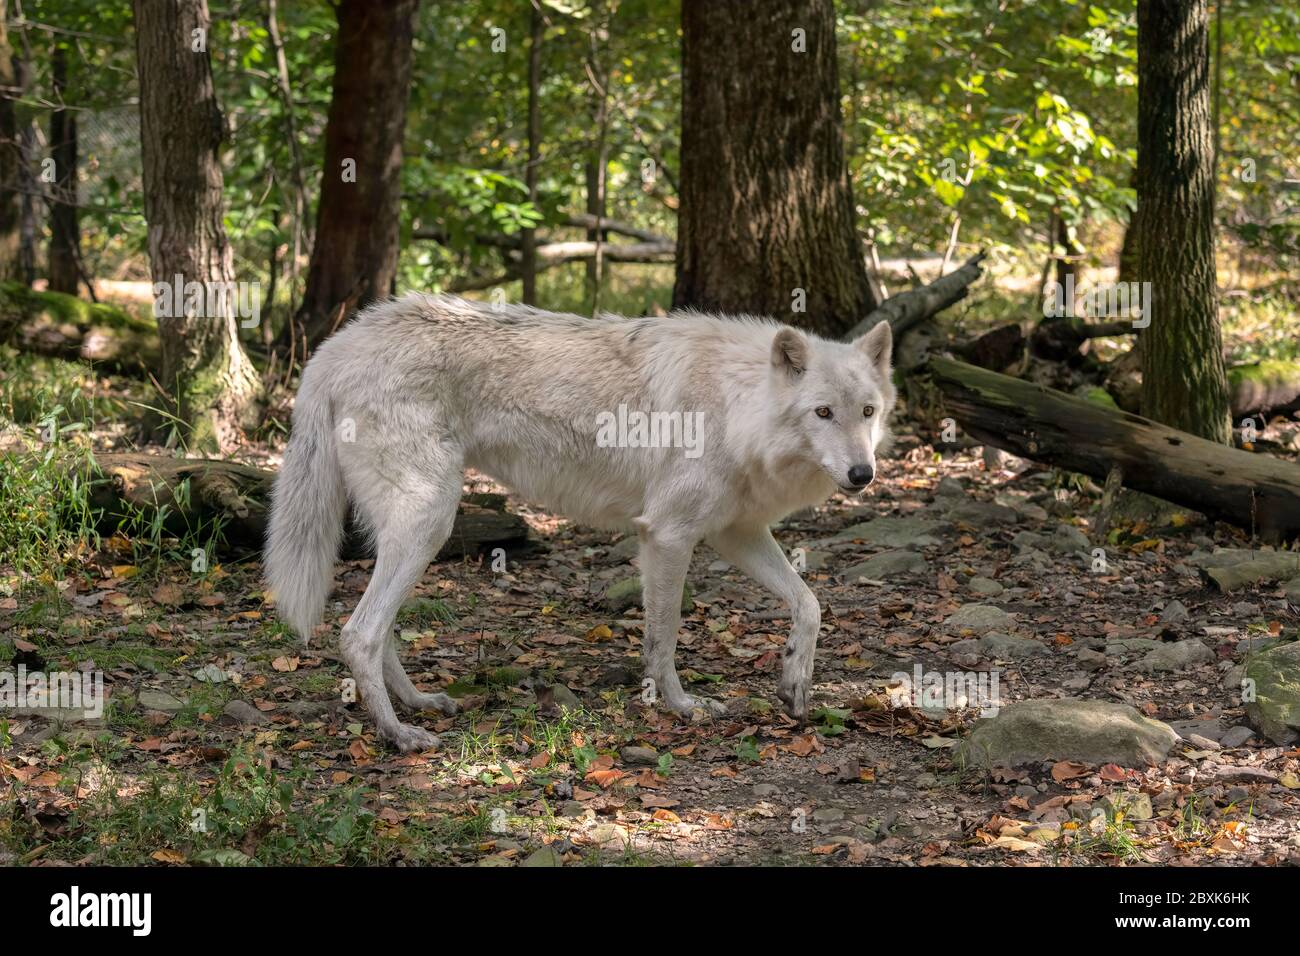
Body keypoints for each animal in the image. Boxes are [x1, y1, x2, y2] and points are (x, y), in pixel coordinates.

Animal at [263, 295, 894, 749]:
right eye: (822, 412)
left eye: (868, 412)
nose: (862, 474)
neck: (737, 404)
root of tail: (337, 344)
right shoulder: (667, 535)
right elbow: (663, 638)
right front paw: (681, 707)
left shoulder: (733, 533)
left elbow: (810, 604)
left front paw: (795, 681)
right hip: (430, 518)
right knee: (358, 633)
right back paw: (398, 734)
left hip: (410, 531)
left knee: (376, 628)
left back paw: (418, 704)